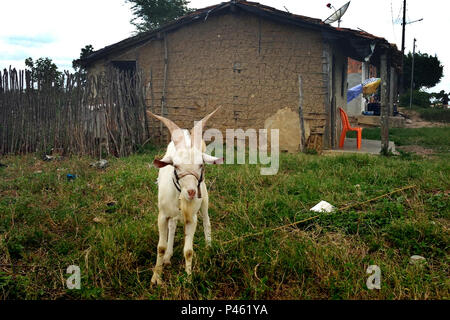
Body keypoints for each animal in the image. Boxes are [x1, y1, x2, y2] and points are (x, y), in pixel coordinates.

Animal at [148, 107, 223, 284]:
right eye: (175, 165)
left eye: (201, 165)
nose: (191, 192)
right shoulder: (162, 215)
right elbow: (160, 247)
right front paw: (156, 277)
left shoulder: (192, 218)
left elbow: (188, 250)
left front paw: (188, 278)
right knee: (172, 225)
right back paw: (168, 256)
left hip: (205, 199)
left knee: (207, 221)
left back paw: (209, 247)